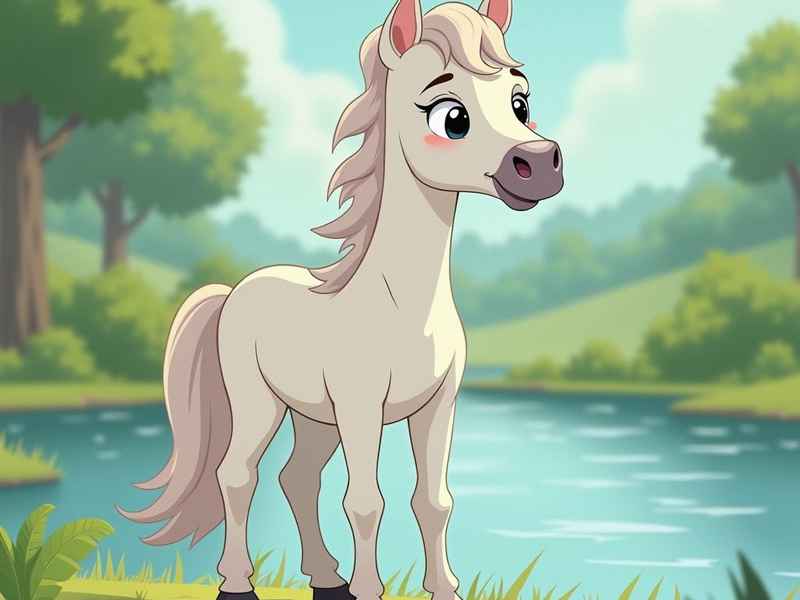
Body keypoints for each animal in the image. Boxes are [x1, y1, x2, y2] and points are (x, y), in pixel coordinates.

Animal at [119, 1, 563, 599]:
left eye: (520, 102)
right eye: (451, 117)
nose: (538, 164)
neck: (400, 303)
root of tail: (235, 290)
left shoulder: (439, 406)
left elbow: (434, 501)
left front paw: (442, 587)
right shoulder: (361, 408)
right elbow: (365, 503)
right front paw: (369, 589)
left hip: (315, 418)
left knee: (297, 478)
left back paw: (326, 578)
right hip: (260, 404)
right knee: (237, 475)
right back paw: (238, 582)